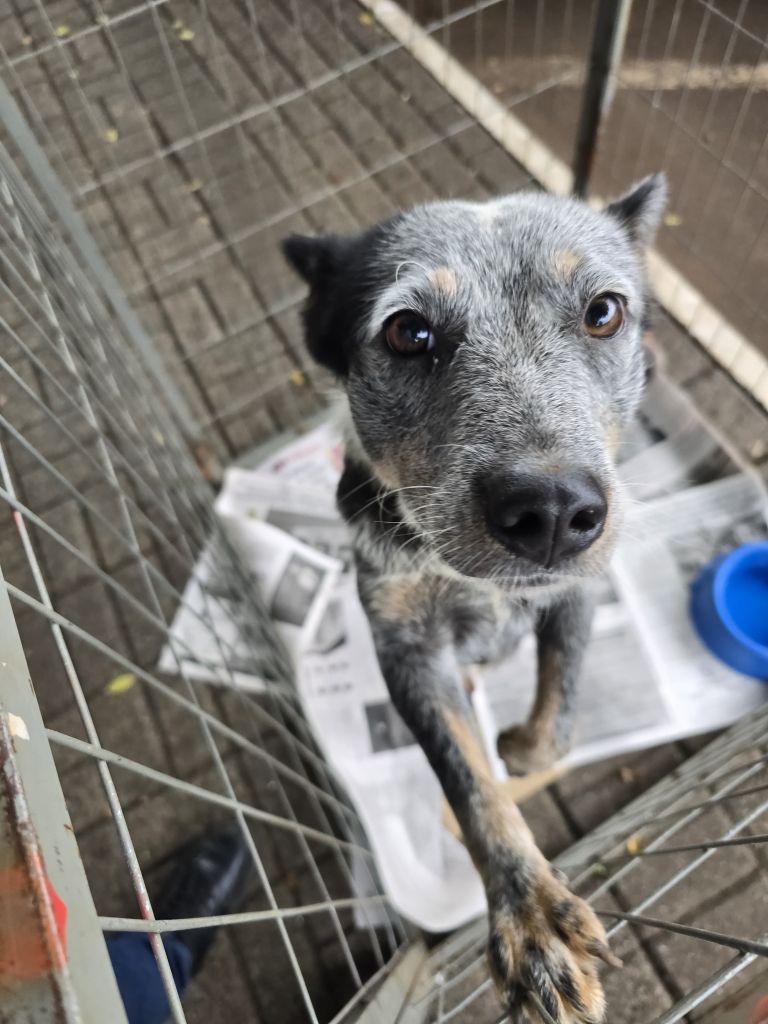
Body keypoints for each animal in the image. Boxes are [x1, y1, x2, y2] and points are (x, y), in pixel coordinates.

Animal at [283, 173, 666, 1024]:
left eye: (604, 311)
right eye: (408, 332)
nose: (552, 510)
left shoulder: (583, 590)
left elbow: (553, 723)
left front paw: (522, 748)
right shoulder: (405, 647)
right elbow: (468, 780)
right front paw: (534, 921)